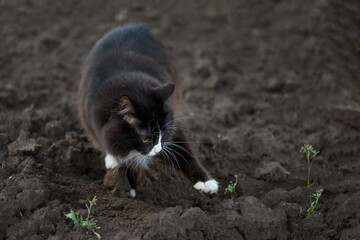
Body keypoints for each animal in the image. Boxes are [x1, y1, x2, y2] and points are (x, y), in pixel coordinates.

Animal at [78, 23, 217, 198]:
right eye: (145, 139)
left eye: (163, 131)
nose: (158, 150)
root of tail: (133, 25)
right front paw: (127, 186)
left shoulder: (173, 125)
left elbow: (185, 152)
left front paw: (206, 182)